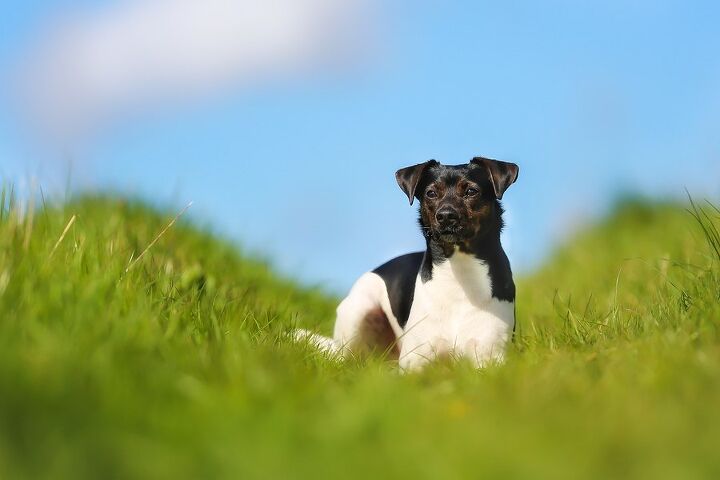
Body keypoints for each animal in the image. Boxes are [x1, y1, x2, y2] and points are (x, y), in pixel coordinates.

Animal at [300, 158, 520, 372]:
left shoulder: (490, 356)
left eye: (471, 191)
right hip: (358, 311)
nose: (446, 216)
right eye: (431, 193)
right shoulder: (414, 361)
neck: (459, 273)